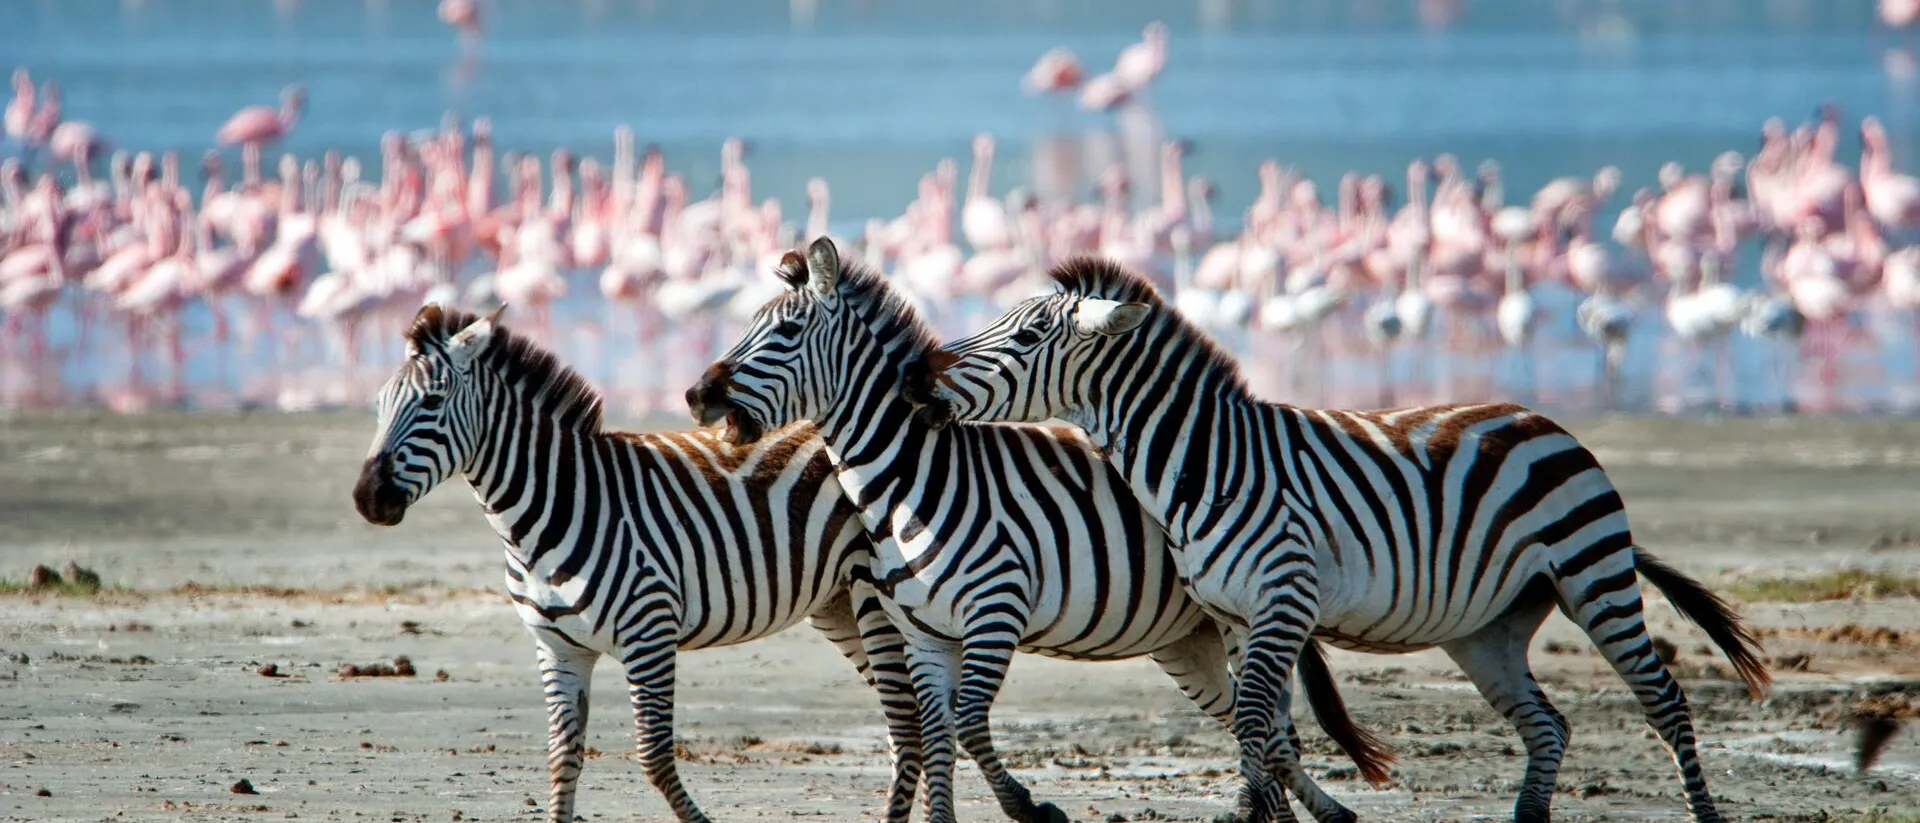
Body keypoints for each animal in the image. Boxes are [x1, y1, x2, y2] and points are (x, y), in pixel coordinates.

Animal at [351, 303, 922, 823]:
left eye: (433, 401)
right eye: (378, 405)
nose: (367, 498)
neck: (550, 511)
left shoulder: (649, 632)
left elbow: (654, 758)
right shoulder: (557, 648)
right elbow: (563, 757)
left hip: (875, 602)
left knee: (908, 723)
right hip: (837, 604)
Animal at [685, 239, 1393, 823]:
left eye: (787, 330)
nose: (695, 396)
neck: (916, 477)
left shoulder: (995, 608)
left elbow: (967, 725)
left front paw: (1032, 807)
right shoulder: (922, 627)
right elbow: (938, 733)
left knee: (1274, 732)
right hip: (1192, 641)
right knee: (1266, 731)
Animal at [900, 257, 1772, 823]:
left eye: (1024, 338)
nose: (918, 382)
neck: (1206, 461)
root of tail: (1541, 419)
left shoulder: (1282, 597)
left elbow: (1260, 717)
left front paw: (1247, 816)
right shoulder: (1239, 614)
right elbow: (1264, 721)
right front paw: (1263, 811)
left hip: (1594, 574)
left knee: (1664, 700)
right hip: (1487, 627)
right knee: (1547, 723)